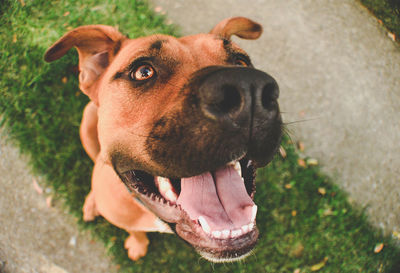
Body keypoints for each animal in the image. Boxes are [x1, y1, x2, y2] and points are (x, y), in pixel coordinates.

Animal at [44, 16, 282, 262]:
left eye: (241, 62)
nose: (249, 87)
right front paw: (137, 244)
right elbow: (133, 230)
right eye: (143, 71)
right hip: (87, 119)